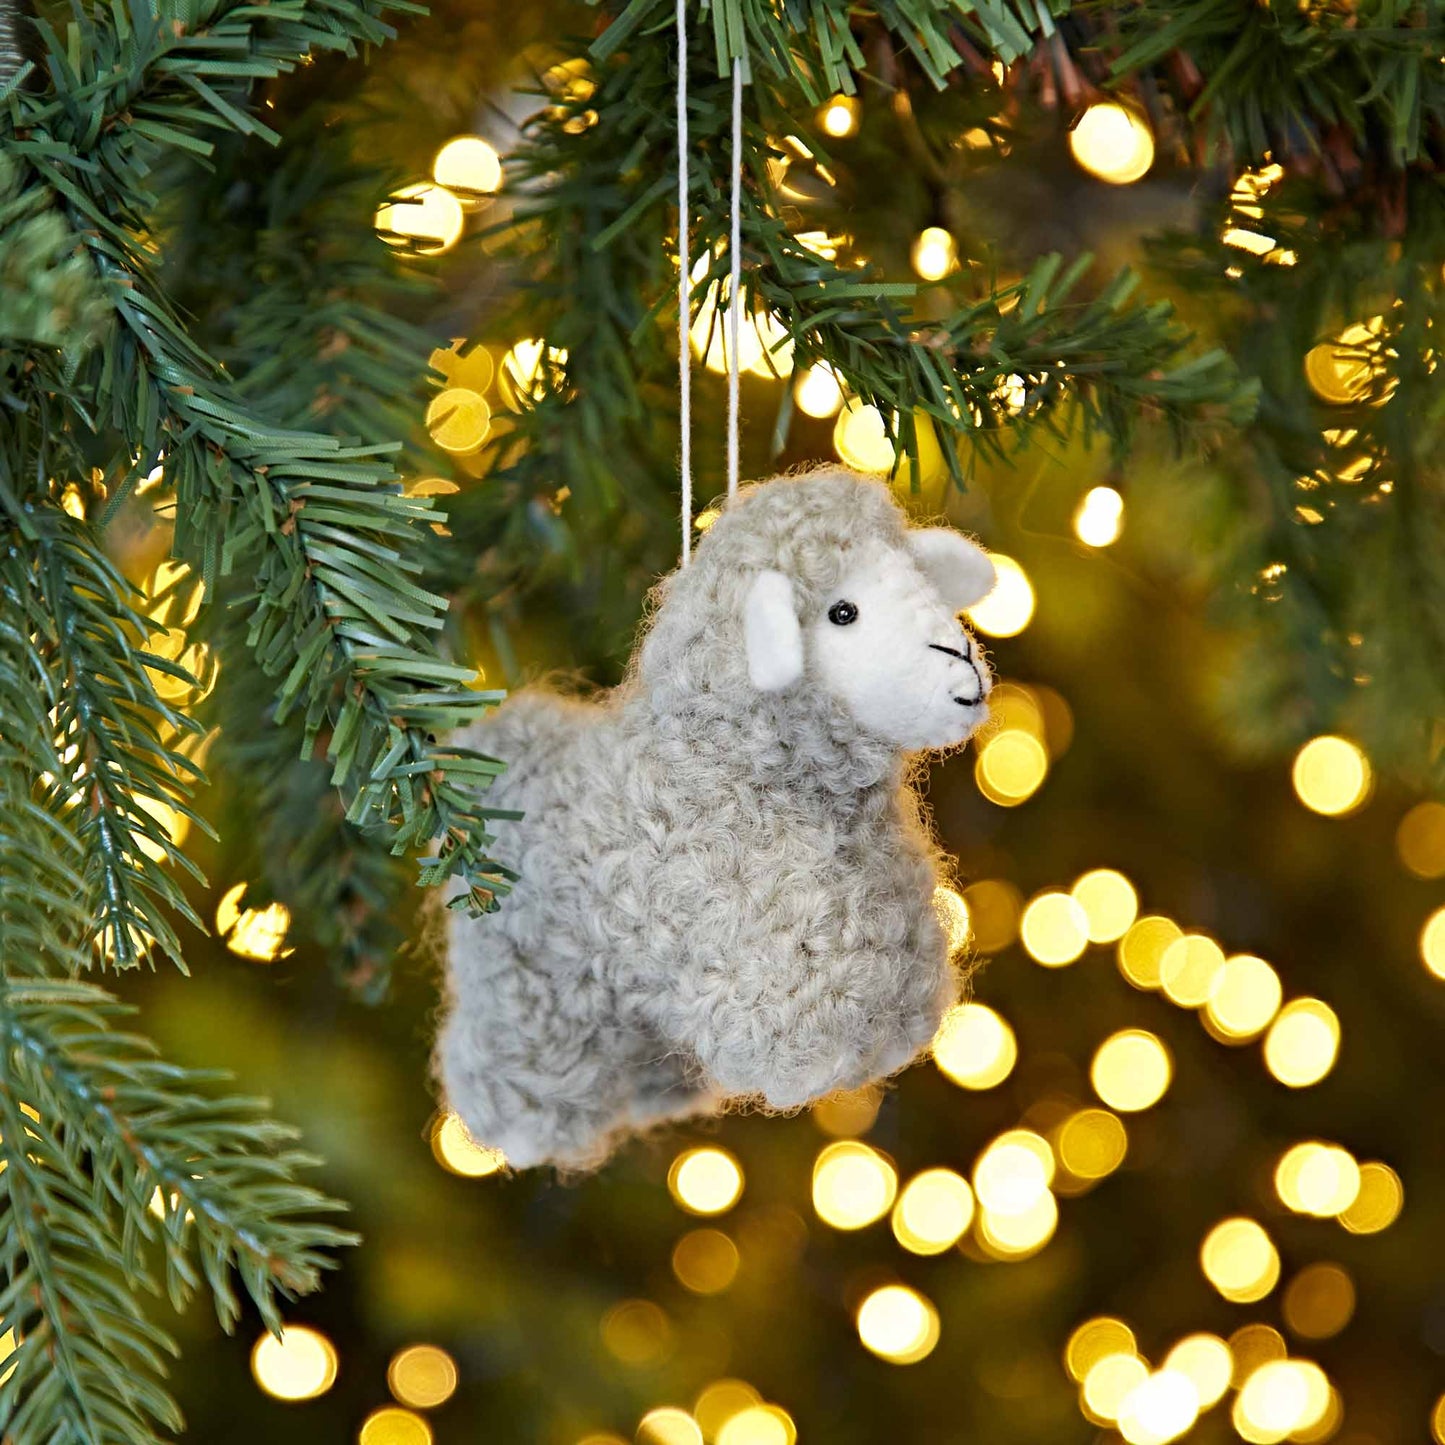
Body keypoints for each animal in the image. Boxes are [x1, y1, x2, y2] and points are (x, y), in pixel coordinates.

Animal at [436, 467, 997, 1171]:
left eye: (916, 576)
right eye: (842, 612)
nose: (962, 658)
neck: (733, 764)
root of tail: (493, 747)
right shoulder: (782, 986)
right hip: (524, 983)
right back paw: (519, 1126)